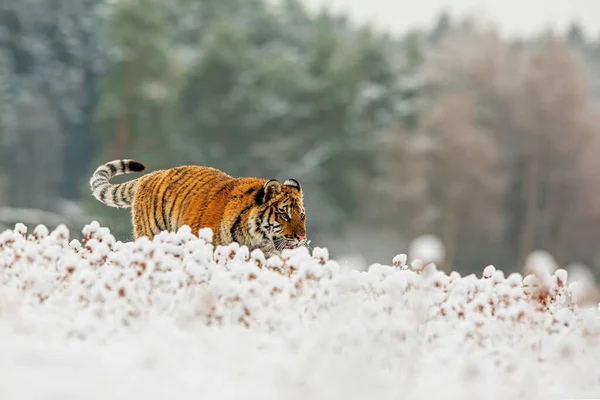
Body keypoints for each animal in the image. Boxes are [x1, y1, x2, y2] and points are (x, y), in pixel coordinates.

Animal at [89, 159, 310, 256]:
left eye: (302, 216)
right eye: (284, 215)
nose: (301, 238)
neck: (256, 241)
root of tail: (151, 175)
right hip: (151, 235)